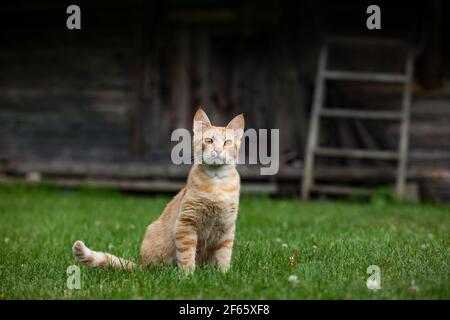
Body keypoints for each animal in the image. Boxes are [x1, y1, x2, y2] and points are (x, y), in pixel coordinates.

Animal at [72, 109, 244, 274]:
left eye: (227, 142)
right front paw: (188, 275)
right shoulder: (186, 223)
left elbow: (224, 255)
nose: (218, 150)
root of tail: (142, 266)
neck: (217, 183)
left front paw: (223, 273)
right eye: (209, 140)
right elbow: (187, 254)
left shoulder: (227, 228)